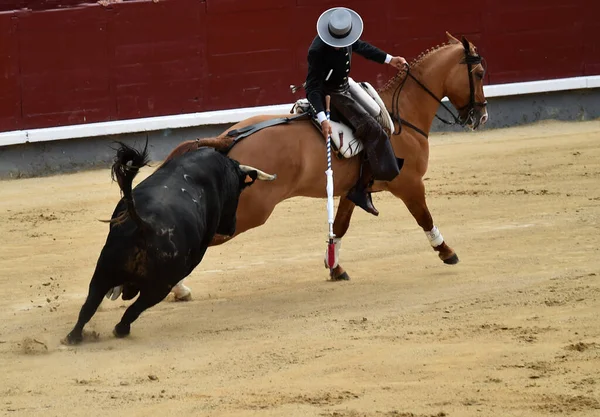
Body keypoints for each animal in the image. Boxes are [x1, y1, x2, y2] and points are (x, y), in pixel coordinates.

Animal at [62, 143, 274, 344]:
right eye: (238, 192)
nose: (231, 227)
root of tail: (145, 225)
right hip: (159, 286)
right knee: (134, 309)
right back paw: (120, 330)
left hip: (104, 271)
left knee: (89, 306)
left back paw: (73, 337)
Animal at [161, 32, 488, 300]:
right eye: (480, 73)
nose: (481, 117)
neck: (402, 117)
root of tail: (227, 138)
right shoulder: (409, 184)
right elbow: (425, 217)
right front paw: (447, 252)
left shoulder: (351, 190)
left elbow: (340, 226)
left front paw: (335, 267)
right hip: (251, 211)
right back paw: (177, 288)